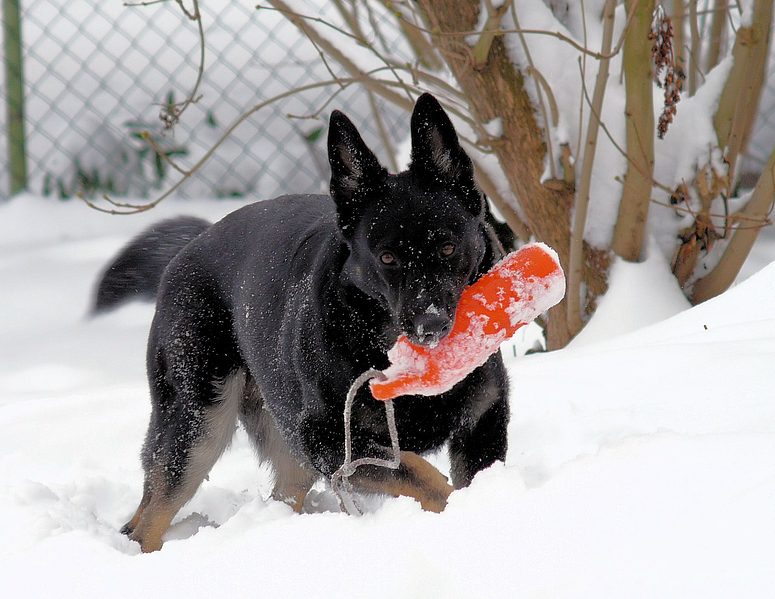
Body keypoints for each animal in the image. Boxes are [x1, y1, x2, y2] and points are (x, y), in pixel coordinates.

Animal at [95, 95, 510, 552]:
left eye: (449, 248)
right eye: (386, 258)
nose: (430, 325)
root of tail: (186, 250)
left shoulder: (483, 425)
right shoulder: (329, 443)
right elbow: (424, 475)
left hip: (279, 440)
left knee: (274, 494)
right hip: (199, 424)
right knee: (151, 516)